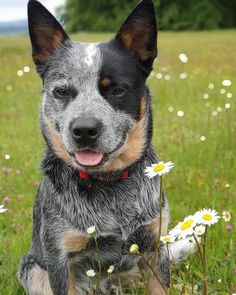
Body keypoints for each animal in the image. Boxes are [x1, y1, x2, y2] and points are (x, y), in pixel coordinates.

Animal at [17, 0, 190, 295]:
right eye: (62, 91)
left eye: (117, 90)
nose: (84, 130)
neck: (110, 184)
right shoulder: (60, 258)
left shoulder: (154, 246)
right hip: (33, 270)